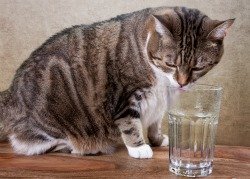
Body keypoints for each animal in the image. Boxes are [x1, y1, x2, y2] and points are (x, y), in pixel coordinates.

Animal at [0, 6, 234, 158]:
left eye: (197, 67)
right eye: (171, 64)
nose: (182, 83)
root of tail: (10, 94)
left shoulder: (159, 104)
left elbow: (155, 123)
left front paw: (158, 140)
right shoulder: (126, 96)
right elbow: (130, 124)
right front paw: (139, 148)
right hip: (50, 123)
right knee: (33, 144)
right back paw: (86, 147)